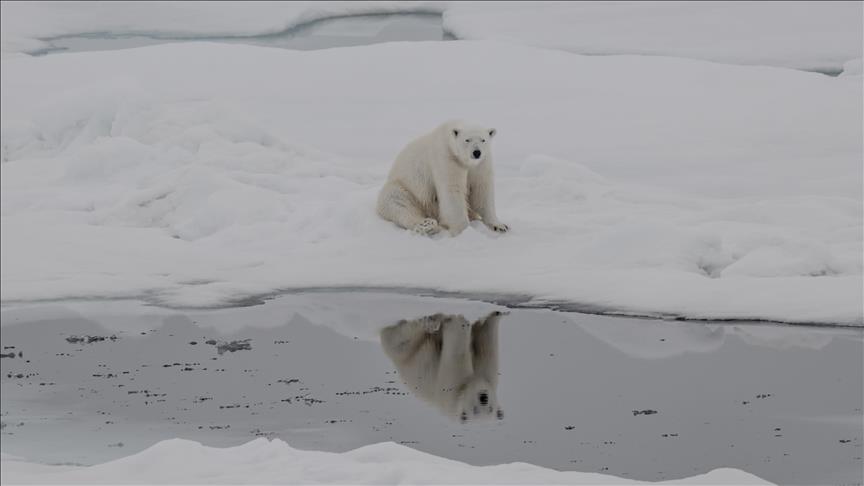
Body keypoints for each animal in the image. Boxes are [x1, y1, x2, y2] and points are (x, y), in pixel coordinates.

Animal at [376, 120, 506, 236]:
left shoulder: (481, 164)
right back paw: (427, 225)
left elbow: (482, 191)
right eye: (467, 140)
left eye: (483, 140)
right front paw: (464, 231)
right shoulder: (446, 158)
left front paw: (500, 226)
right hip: (405, 188)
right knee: (398, 203)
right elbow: (452, 191)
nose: (477, 152)